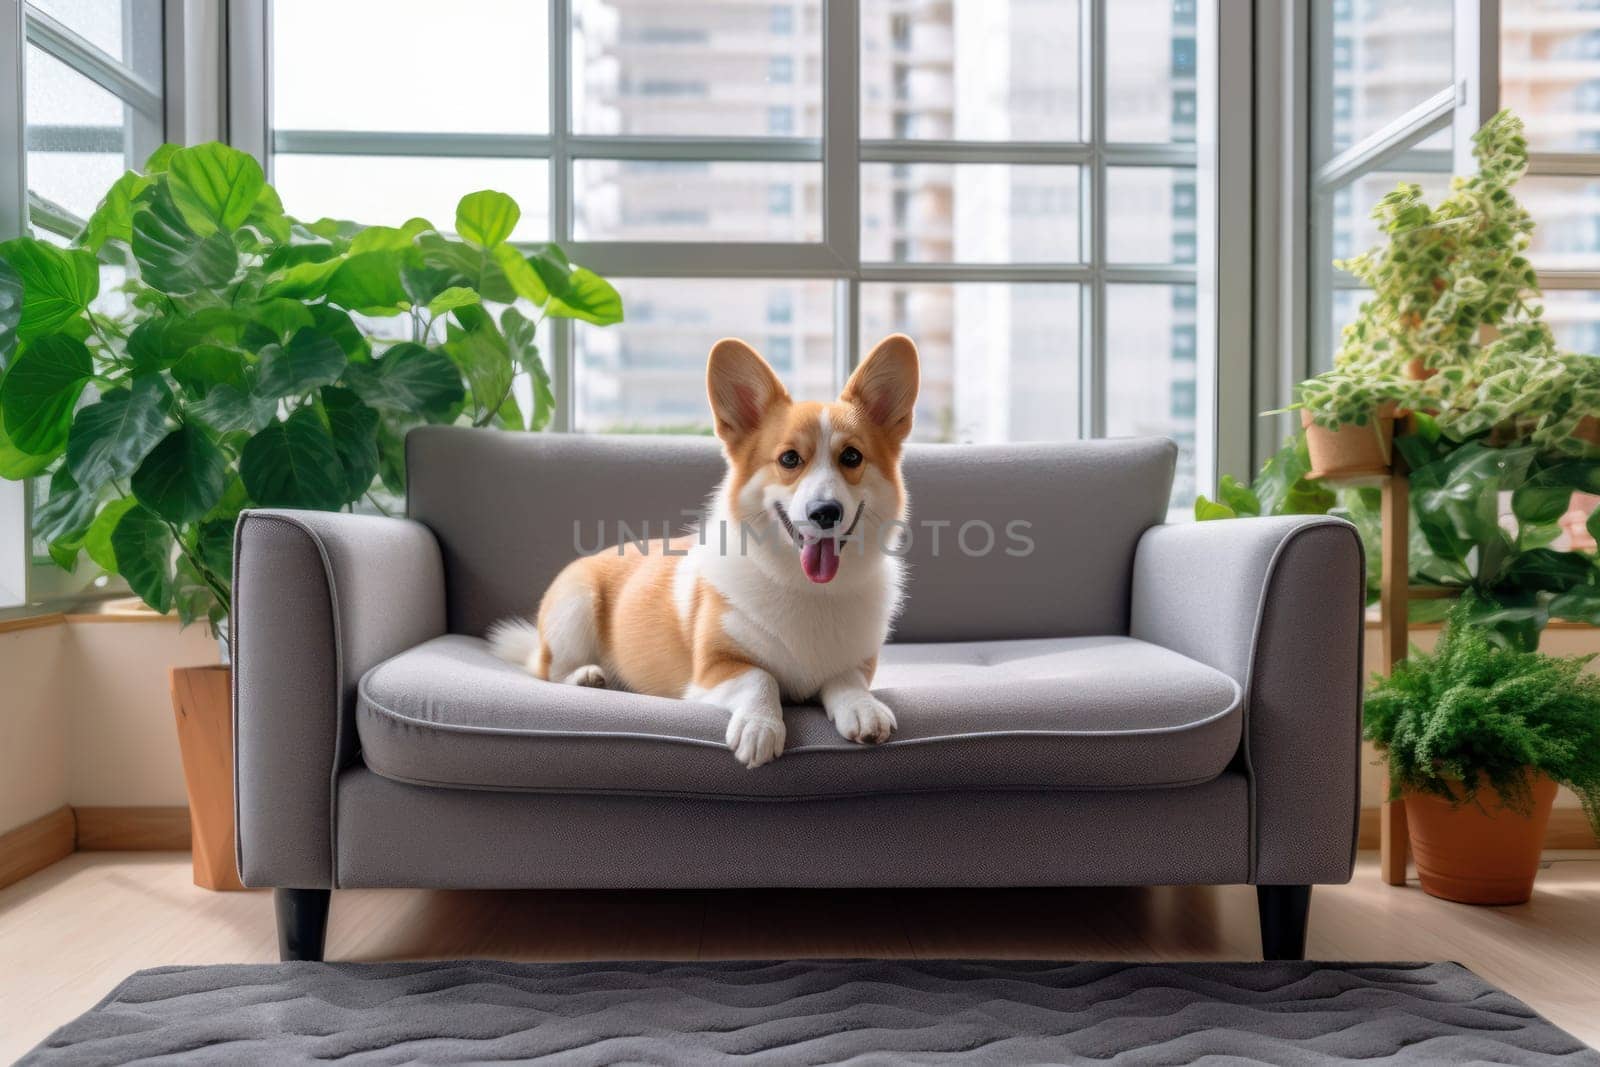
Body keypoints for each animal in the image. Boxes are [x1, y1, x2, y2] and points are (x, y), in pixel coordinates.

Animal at [486, 334, 921, 767]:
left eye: (851, 457)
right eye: (789, 459)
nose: (825, 512)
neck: (807, 589)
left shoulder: (859, 664)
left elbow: (846, 680)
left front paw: (862, 709)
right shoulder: (712, 669)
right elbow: (760, 677)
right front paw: (760, 727)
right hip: (575, 608)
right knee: (548, 669)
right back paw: (587, 675)